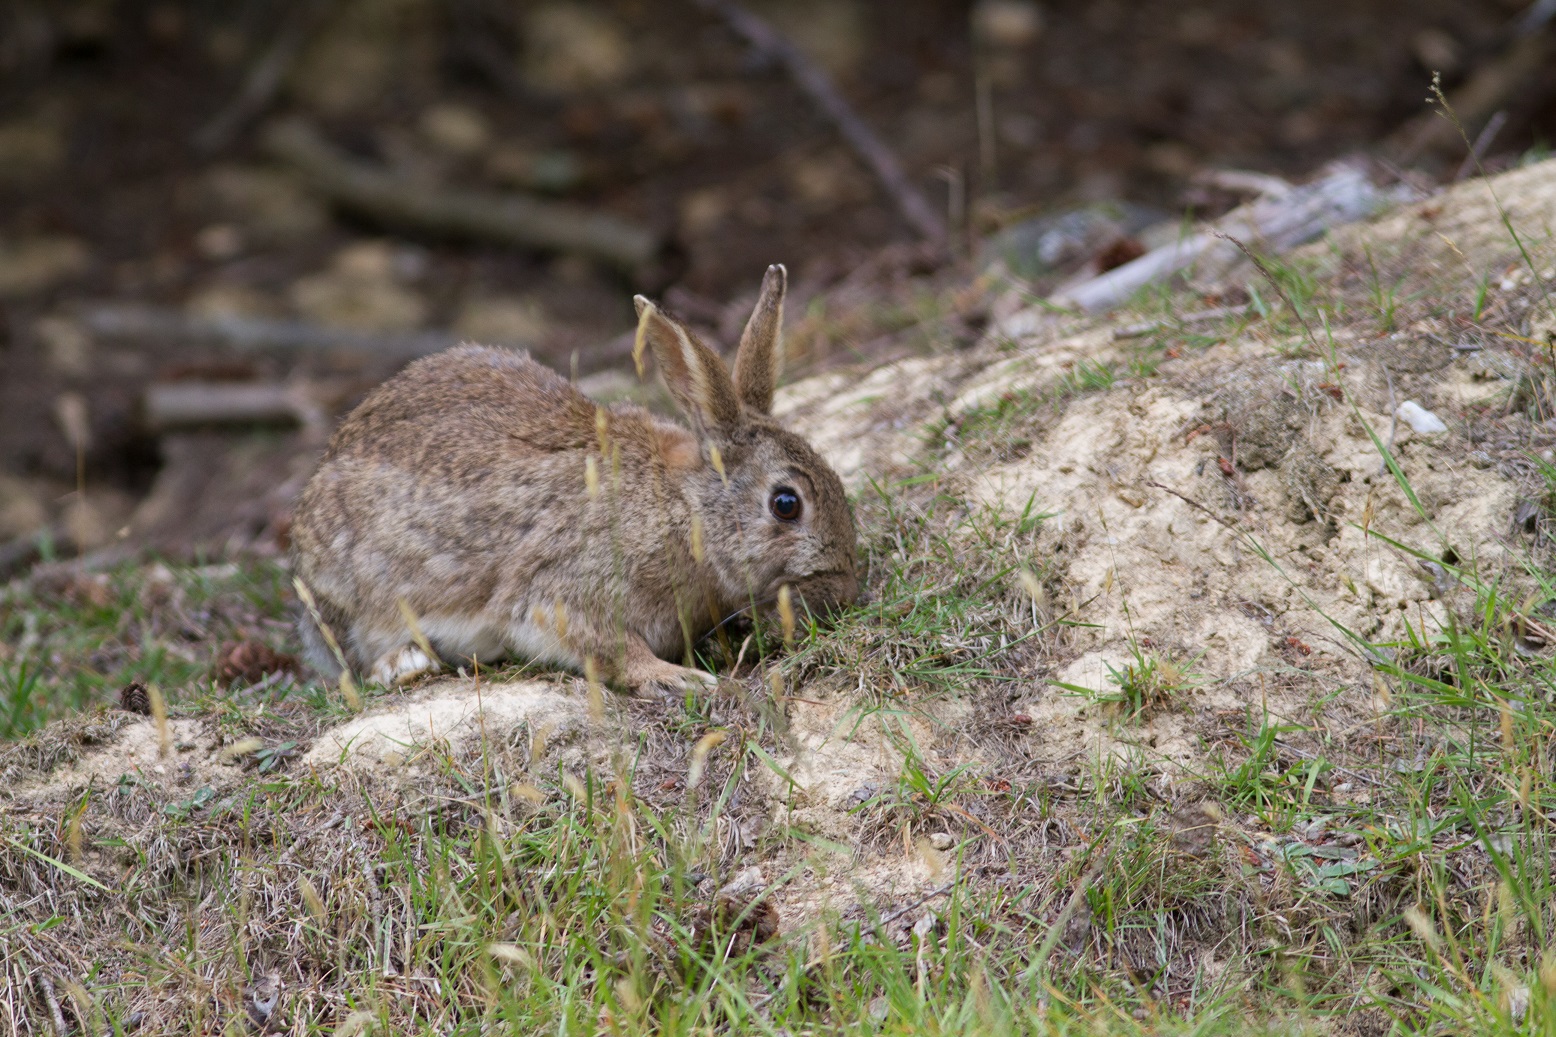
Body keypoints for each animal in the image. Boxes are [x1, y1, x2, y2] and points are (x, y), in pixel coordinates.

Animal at [288, 264, 859, 696]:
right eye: (786, 503)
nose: (845, 590)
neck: (684, 509)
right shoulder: (566, 588)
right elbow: (610, 646)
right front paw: (677, 678)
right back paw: (404, 663)